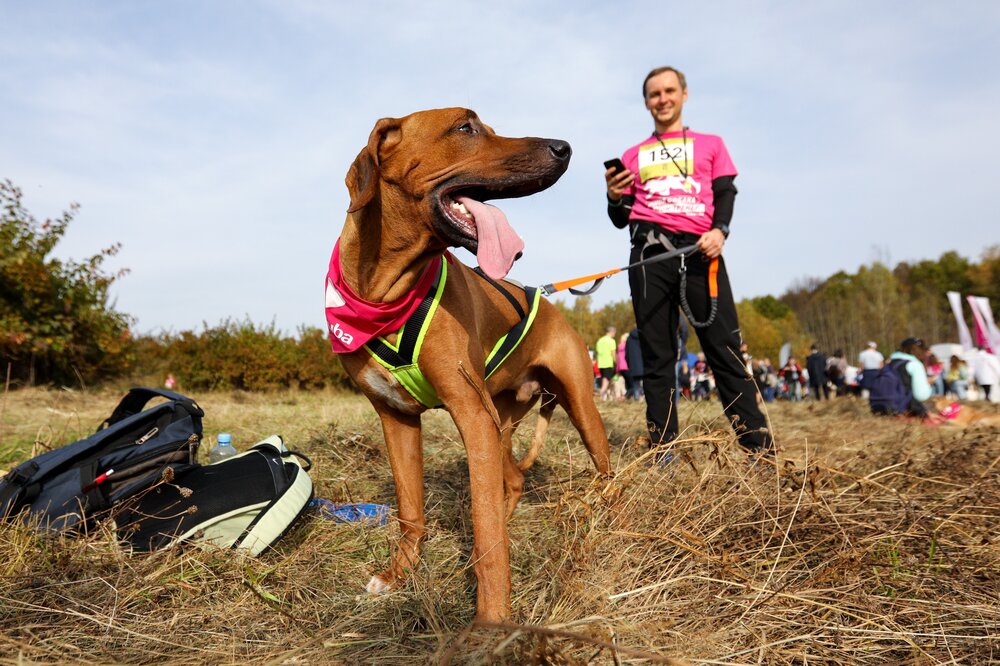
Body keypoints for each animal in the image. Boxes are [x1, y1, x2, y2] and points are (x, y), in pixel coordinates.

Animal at [330, 106, 608, 620]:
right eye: (466, 127)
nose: (564, 148)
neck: (387, 295)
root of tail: (549, 299)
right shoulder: (396, 417)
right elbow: (411, 510)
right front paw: (398, 575)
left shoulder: (470, 414)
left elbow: (486, 532)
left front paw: (492, 619)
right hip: (500, 424)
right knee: (514, 479)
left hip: (579, 409)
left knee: (606, 469)